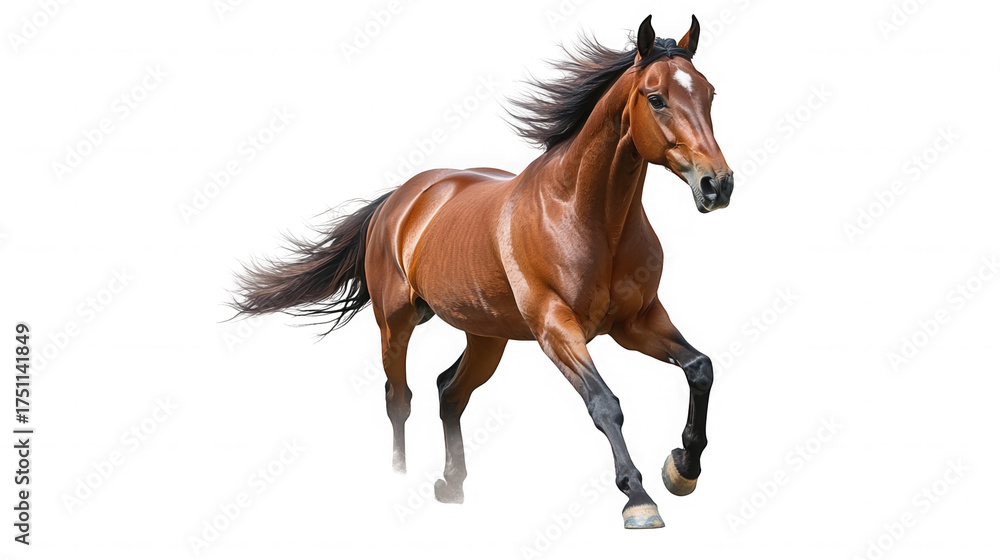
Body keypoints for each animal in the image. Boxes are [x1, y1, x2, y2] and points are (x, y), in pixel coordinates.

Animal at [232, 14, 733, 529]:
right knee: (399, 398)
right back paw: (401, 476)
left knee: (449, 391)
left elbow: (700, 368)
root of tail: (400, 199)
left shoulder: (636, 322)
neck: (586, 216)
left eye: (710, 93)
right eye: (656, 98)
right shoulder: (556, 327)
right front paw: (639, 499)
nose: (717, 185)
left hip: (487, 336)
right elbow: (605, 404)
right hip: (396, 323)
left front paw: (682, 469)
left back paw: (452, 485)